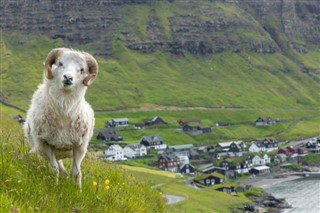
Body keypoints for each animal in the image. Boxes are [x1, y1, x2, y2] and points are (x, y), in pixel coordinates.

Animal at [23, 47, 98, 190]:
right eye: (60, 63)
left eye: (82, 70)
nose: (68, 77)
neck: (64, 111)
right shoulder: (46, 144)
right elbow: (54, 169)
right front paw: (54, 187)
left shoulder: (80, 146)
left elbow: (76, 172)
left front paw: (78, 191)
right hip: (46, 150)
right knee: (59, 168)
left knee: (65, 171)